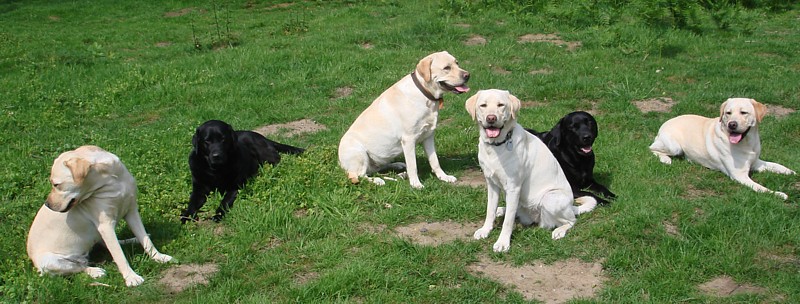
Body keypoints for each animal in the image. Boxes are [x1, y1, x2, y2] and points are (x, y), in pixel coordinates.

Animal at [28, 146, 172, 286]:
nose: (48, 205)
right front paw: (131, 277)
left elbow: (146, 241)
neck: (111, 180)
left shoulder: (132, 212)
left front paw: (159, 257)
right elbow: (119, 255)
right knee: (78, 267)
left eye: (56, 184)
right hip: (49, 261)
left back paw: (131, 240)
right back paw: (95, 271)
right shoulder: (105, 225)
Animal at [336, 51, 468, 189]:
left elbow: (435, 161)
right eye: (447, 68)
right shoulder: (409, 139)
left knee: (375, 169)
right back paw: (377, 180)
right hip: (358, 152)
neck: (425, 95)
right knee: (359, 176)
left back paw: (397, 166)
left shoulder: (428, 136)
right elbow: (413, 165)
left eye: (457, 63)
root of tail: (339, 163)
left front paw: (444, 177)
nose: (467, 75)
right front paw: (416, 184)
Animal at [466, 89, 596, 252]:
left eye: (501, 105)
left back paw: (559, 231)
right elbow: (490, 210)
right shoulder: (492, 184)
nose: (491, 118)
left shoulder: (514, 187)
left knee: (571, 220)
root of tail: (572, 208)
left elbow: (508, 221)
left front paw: (503, 243)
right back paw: (501, 210)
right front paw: (485, 230)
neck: (497, 146)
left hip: (550, 198)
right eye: (483, 105)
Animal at [648, 97, 792, 200]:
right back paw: (665, 159)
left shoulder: (756, 162)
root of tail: (663, 124)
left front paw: (790, 171)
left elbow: (776, 165)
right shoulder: (739, 175)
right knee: (652, 148)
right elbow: (761, 188)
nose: (732, 124)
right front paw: (778, 194)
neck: (747, 143)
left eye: (743, 112)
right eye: (728, 113)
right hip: (674, 147)